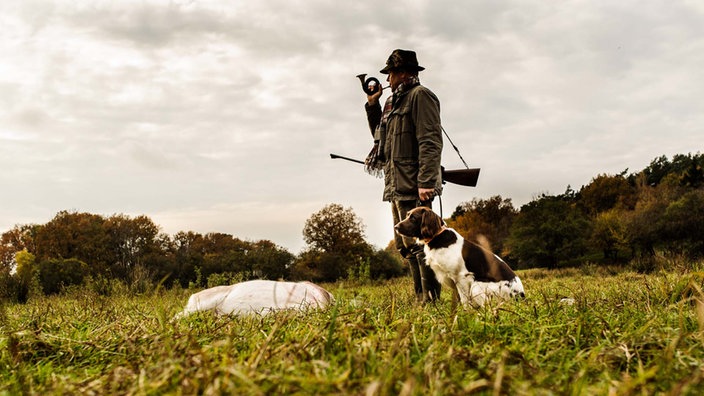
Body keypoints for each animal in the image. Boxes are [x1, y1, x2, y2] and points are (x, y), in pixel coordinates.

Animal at [394, 206, 524, 308]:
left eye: (413, 218)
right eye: (407, 215)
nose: (396, 227)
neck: (437, 237)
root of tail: (521, 296)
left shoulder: (461, 278)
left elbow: (465, 302)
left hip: (477, 286)